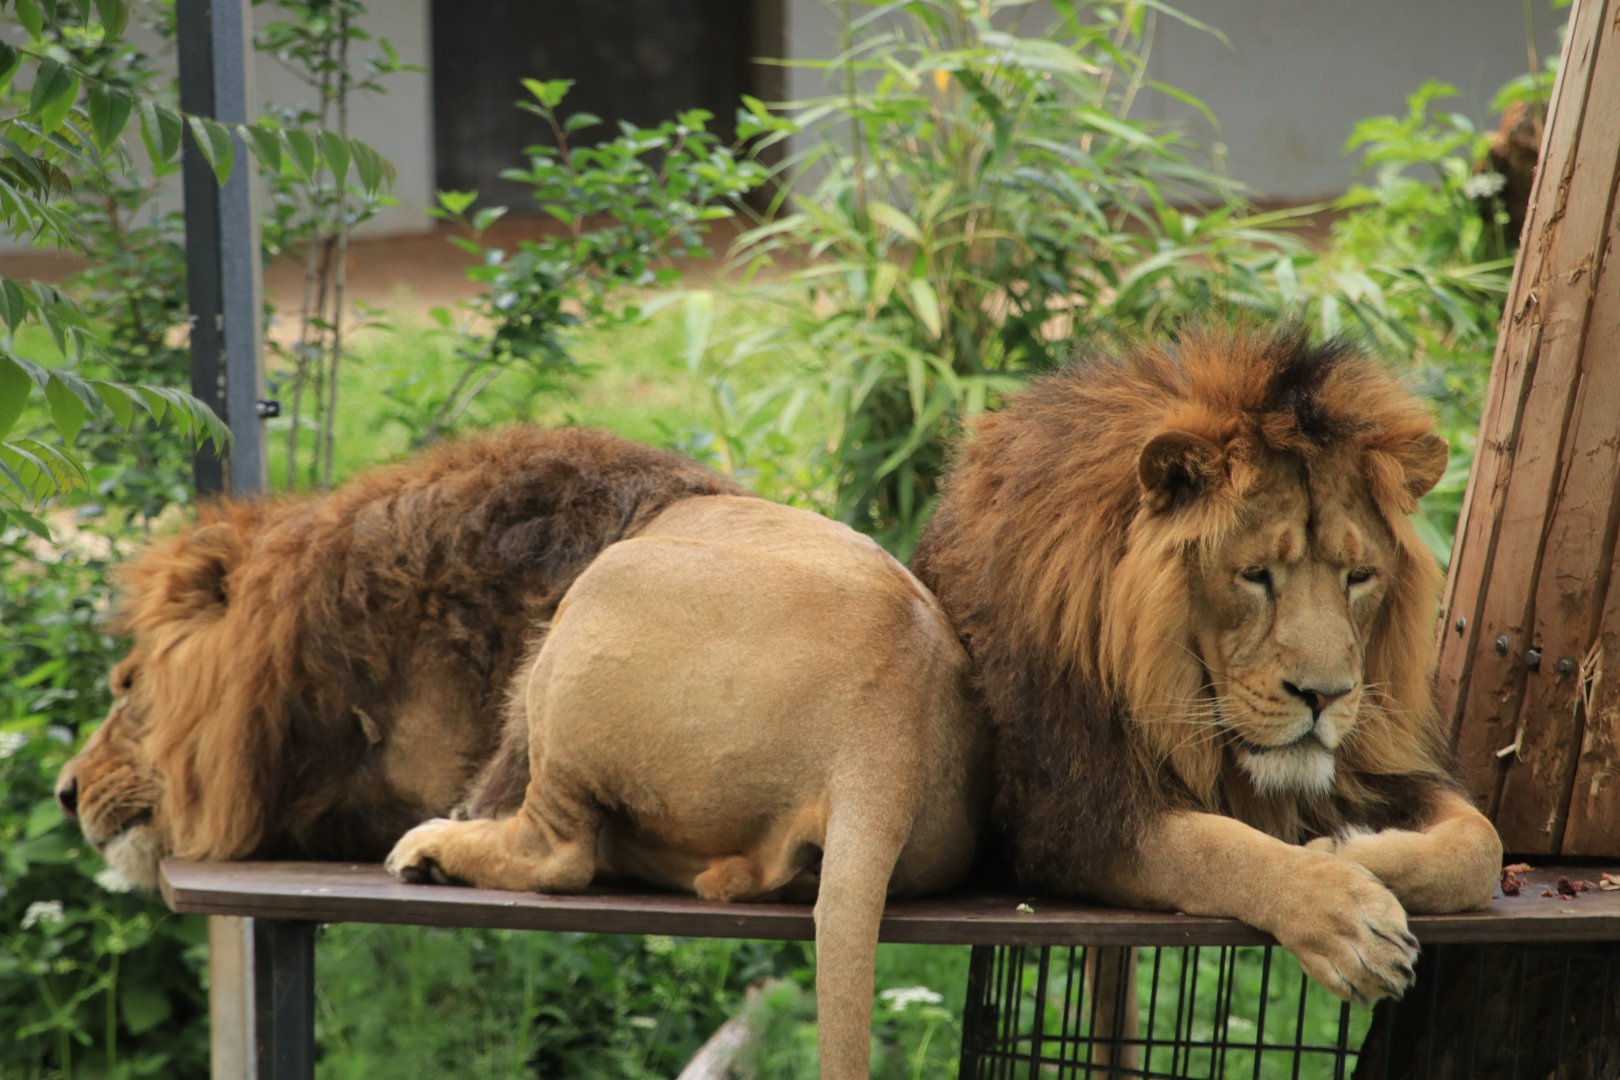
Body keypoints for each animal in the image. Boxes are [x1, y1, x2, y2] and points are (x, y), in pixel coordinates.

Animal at [910, 321, 1504, 1007]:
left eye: (1359, 576)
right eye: (1255, 575)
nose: (1325, 696)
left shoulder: (1379, 772)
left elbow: (1482, 844)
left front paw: (1349, 849)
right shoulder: (1073, 816)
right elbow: (1219, 848)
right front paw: (1346, 915)